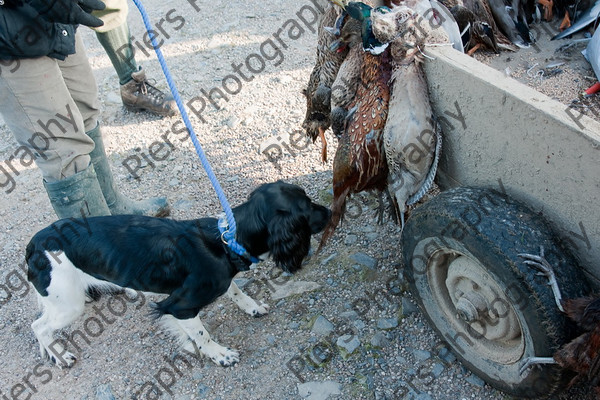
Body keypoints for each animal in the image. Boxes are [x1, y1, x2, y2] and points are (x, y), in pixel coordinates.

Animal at [25, 181, 330, 368]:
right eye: (307, 207)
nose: (329, 210)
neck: (226, 242)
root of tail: (35, 243)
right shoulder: (179, 305)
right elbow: (202, 334)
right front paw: (220, 355)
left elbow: (236, 291)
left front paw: (252, 307)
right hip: (69, 305)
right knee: (38, 327)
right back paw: (60, 356)